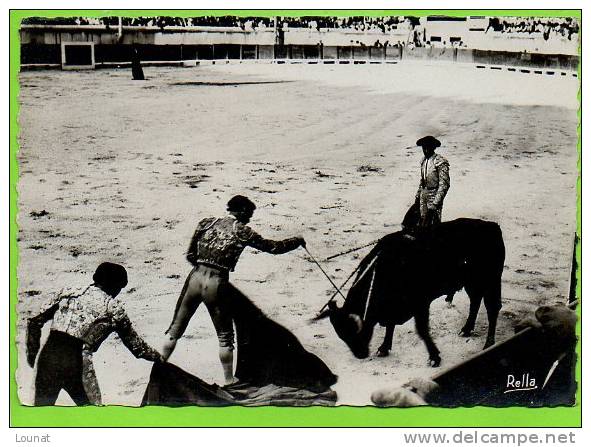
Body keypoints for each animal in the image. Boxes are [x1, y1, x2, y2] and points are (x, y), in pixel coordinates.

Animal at [322, 218, 506, 368]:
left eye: (356, 330)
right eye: (341, 335)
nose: (360, 355)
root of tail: (492, 226)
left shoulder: (421, 304)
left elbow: (422, 330)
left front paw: (434, 358)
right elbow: (390, 325)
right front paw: (384, 348)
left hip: (491, 281)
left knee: (492, 308)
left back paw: (488, 344)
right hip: (472, 284)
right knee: (475, 302)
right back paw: (466, 329)